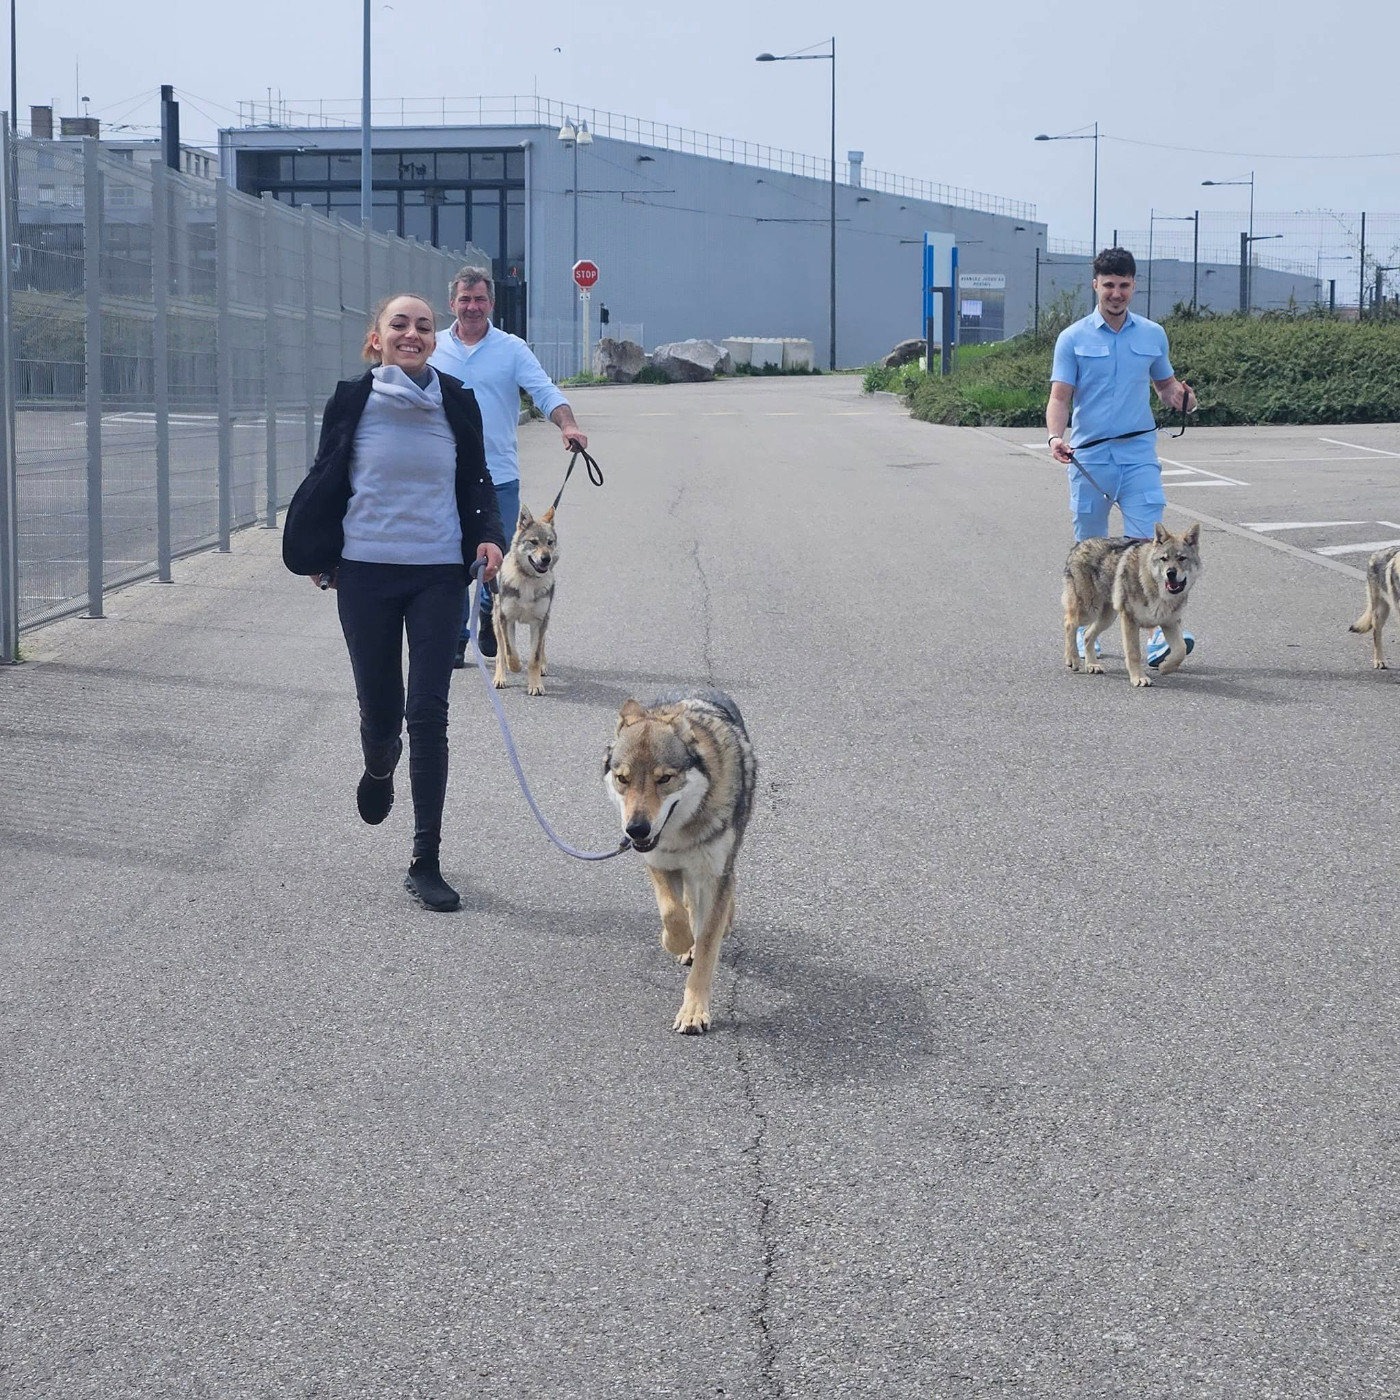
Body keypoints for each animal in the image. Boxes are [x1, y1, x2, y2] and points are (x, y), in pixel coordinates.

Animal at [493, 504, 558, 696]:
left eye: (549, 542)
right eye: (534, 542)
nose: (546, 558)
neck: (528, 580)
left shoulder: (539, 621)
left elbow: (534, 658)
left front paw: (536, 685)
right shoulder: (506, 619)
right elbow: (509, 651)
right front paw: (515, 667)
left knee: (542, 645)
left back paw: (543, 666)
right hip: (496, 619)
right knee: (500, 651)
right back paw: (500, 677)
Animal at [603, 689, 758, 1035]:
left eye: (664, 778)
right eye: (623, 779)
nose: (635, 830)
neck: (682, 830)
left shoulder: (715, 874)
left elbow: (707, 945)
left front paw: (694, 1012)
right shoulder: (658, 862)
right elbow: (672, 912)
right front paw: (677, 941)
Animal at [1062, 521, 1202, 687]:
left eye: (1182, 558)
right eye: (1164, 559)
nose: (1170, 573)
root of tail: (1079, 545)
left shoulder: (1170, 622)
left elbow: (1181, 649)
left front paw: (1166, 667)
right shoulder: (1130, 620)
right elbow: (1134, 653)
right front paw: (1138, 678)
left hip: (1107, 618)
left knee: (1086, 633)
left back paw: (1092, 665)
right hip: (1089, 611)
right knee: (1069, 623)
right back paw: (1073, 659)